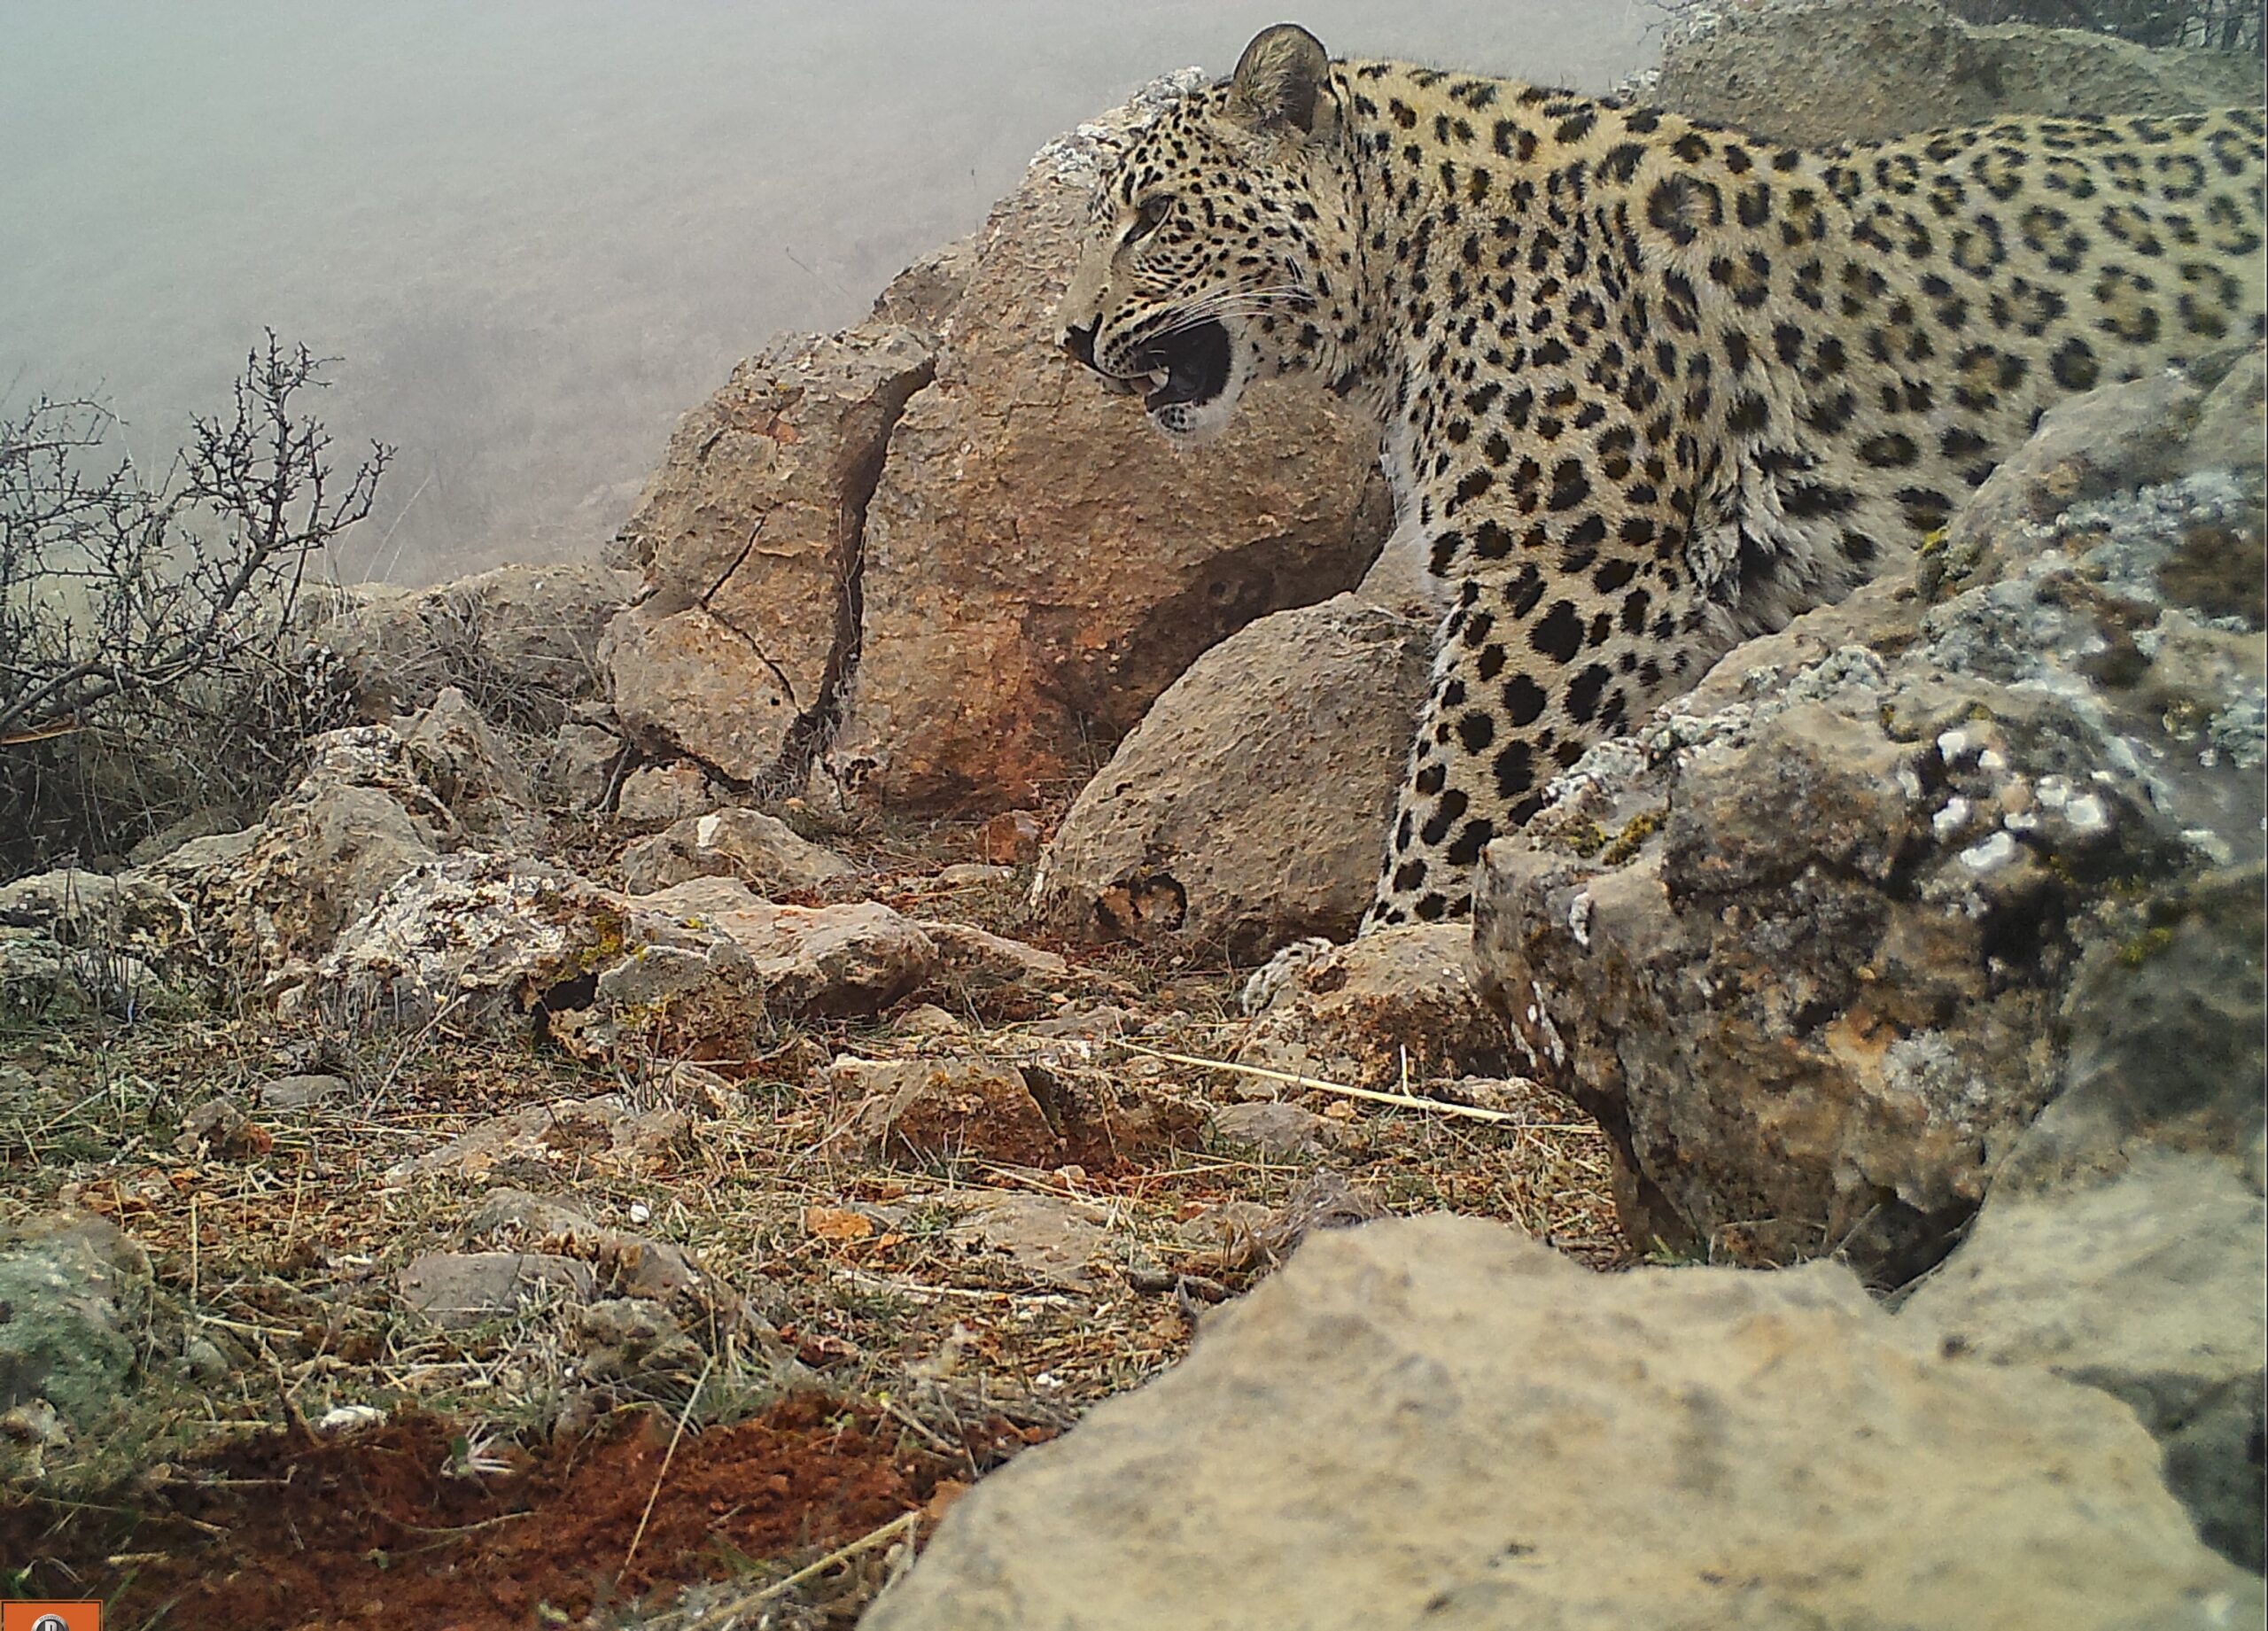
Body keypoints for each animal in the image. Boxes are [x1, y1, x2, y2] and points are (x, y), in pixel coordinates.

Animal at [1055, 22, 2265, 932]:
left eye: (1154, 217)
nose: (1066, 335)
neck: (1410, 277)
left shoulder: (1562, 573)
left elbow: (1457, 787)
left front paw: (1379, 946)